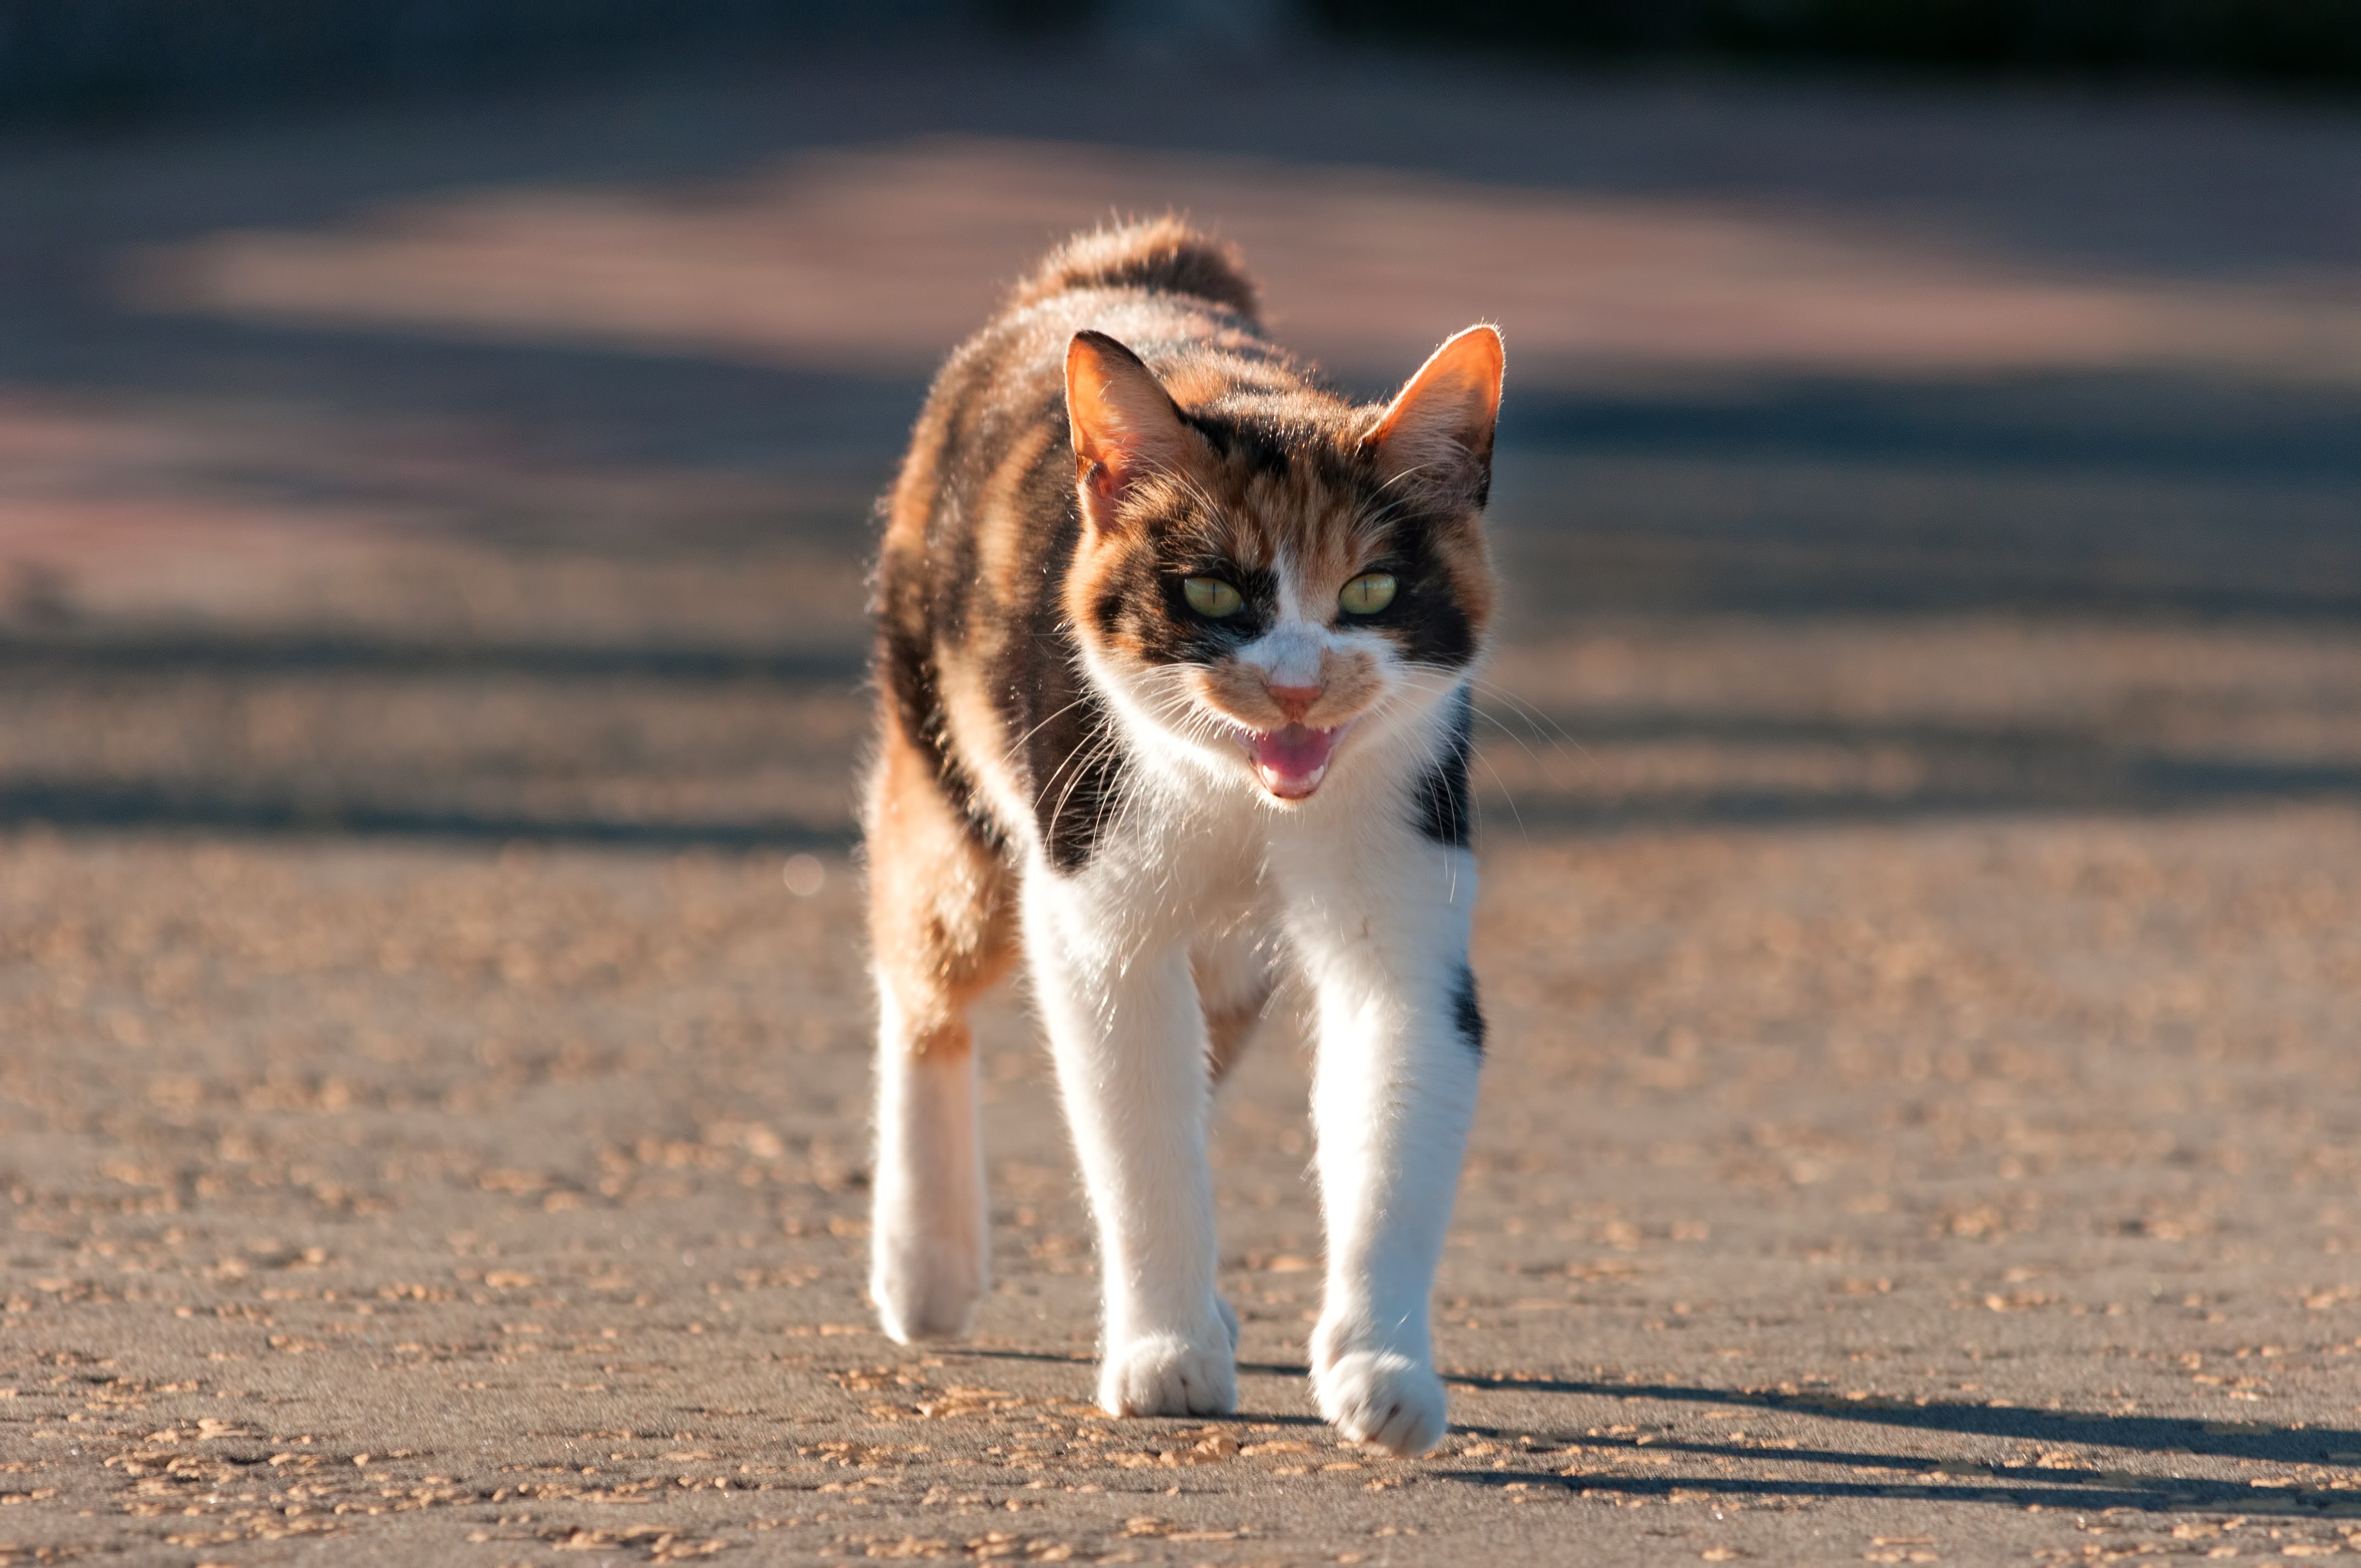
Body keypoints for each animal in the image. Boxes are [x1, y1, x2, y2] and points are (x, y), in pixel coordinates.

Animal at [864, 217, 1492, 1455]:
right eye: (1208, 592)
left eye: (1370, 589)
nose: (1295, 685)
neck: (1248, 803)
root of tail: (1129, 262)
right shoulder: (1100, 922)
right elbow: (1136, 1131)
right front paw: (1163, 1353)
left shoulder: (1404, 909)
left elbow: (1392, 1121)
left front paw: (1382, 1367)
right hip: (949, 776)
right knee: (921, 982)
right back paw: (926, 1268)